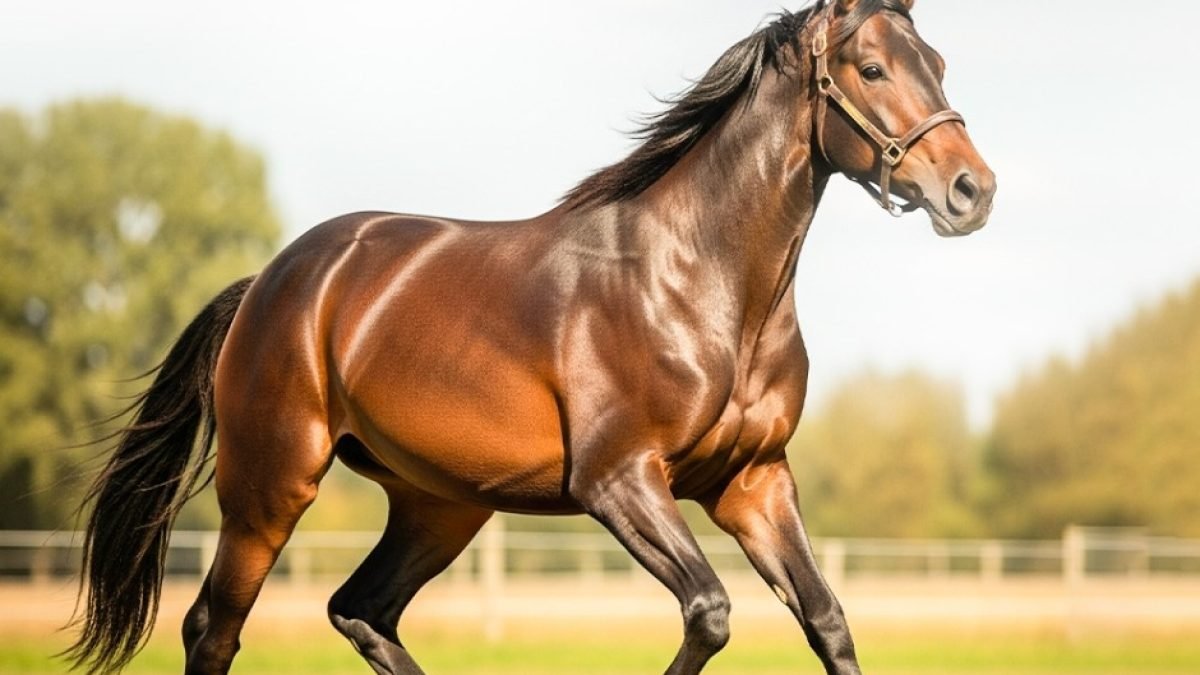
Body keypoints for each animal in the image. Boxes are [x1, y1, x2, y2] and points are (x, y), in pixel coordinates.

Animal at [69, 1, 994, 673]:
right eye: (870, 68)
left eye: (939, 64)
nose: (971, 190)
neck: (702, 285)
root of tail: (268, 283)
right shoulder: (618, 479)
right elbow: (709, 613)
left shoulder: (753, 482)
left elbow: (825, 618)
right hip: (269, 487)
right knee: (214, 627)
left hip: (440, 504)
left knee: (361, 610)